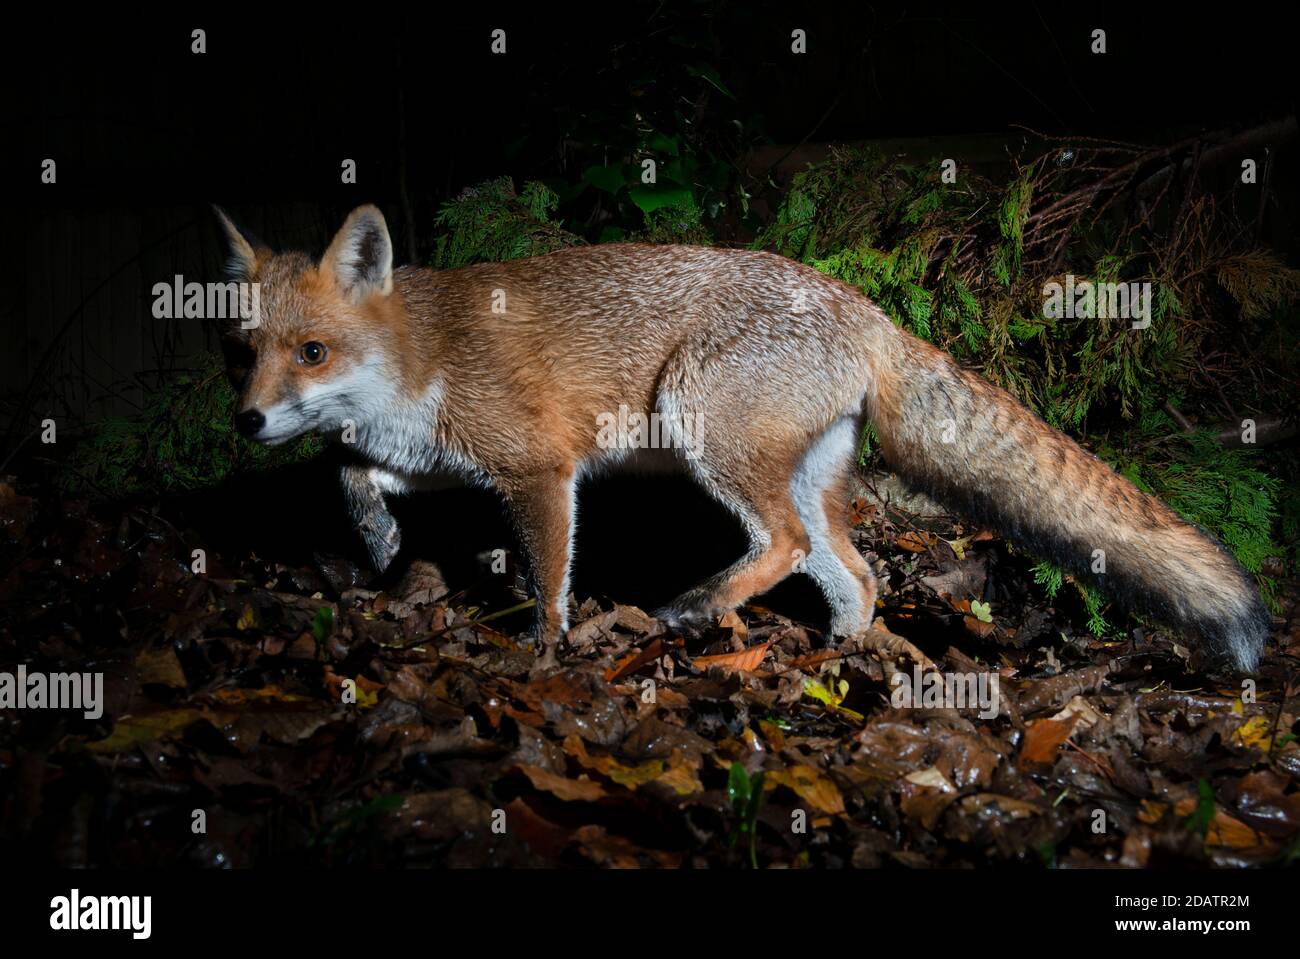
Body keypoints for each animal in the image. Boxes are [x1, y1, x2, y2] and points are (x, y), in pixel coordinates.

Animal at [213, 204, 1268, 665]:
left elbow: (548, 575)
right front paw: (378, 538)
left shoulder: (541, 466)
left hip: (702, 428)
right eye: (242, 354)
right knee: (858, 572)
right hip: (798, 472)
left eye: (312, 350)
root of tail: (863, 306)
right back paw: (839, 654)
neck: (421, 355)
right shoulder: (438, 456)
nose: (249, 420)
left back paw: (696, 607)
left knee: (789, 545)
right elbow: (351, 469)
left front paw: (544, 652)